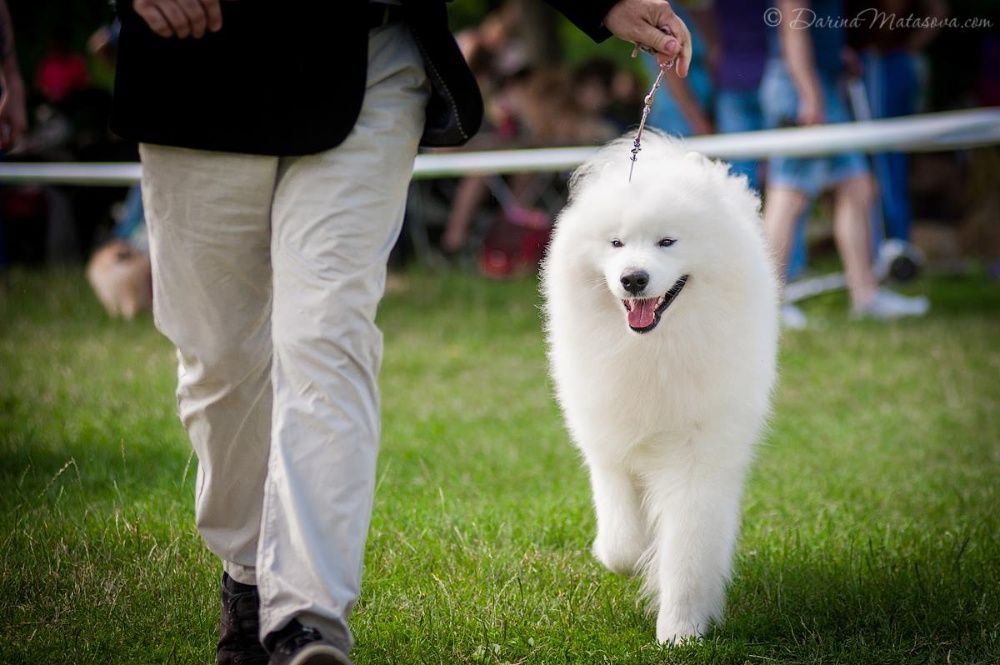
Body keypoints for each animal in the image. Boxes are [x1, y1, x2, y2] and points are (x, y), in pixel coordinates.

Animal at [540, 132, 780, 640]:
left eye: (667, 241)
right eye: (615, 242)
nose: (634, 278)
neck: (652, 349)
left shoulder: (697, 455)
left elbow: (687, 551)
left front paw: (680, 632)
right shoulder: (608, 443)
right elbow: (621, 540)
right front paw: (629, 556)